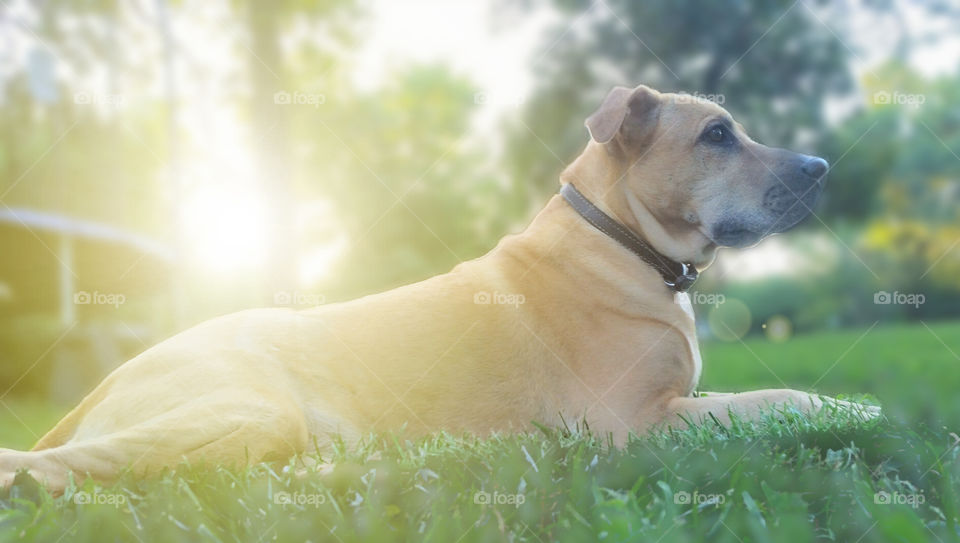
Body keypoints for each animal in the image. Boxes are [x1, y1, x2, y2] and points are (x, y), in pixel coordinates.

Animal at [0, 85, 876, 492]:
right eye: (717, 135)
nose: (822, 168)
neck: (618, 235)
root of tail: (103, 382)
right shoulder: (638, 422)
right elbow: (779, 398)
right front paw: (854, 407)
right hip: (246, 405)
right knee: (59, 471)